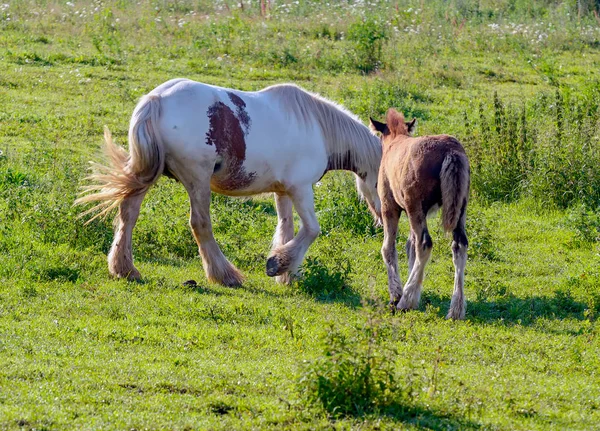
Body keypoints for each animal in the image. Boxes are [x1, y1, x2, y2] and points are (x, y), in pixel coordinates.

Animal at [78, 78, 380, 286]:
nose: (382, 218)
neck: (317, 127)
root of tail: (157, 100)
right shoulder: (301, 189)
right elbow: (311, 230)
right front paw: (279, 265)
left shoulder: (282, 192)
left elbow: (287, 229)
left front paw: (286, 274)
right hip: (197, 180)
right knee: (200, 224)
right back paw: (224, 275)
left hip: (147, 175)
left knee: (128, 214)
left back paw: (125, 269)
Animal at [370, 109, 468, 318]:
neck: (396, 140)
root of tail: (451, 151)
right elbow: (410, 247)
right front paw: (413, 291)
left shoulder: (390, 207)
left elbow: (388, 248)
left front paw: (397, 294)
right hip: (459, 208)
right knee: (459, 245)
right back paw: (456, 310)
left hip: (415, 206)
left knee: (424, 244)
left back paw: (405, 302)